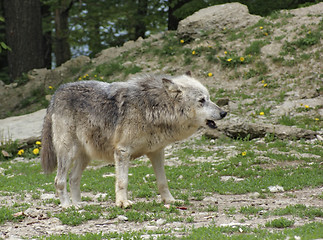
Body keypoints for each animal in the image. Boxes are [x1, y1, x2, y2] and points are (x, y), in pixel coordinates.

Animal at [41, 71, 228, 208]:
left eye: (209, 98)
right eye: (202, 100)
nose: (224, 112)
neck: (153, 108)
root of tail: (56, 93)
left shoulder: (157, 152)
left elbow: (163, 182)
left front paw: (170, 201)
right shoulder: (122, 151)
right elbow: (122, 181)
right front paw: (122, 203)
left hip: (85, 156)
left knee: (73, 179)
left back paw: (80, 205)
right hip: (68, 153)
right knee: (59, 181)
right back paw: (68, 206)